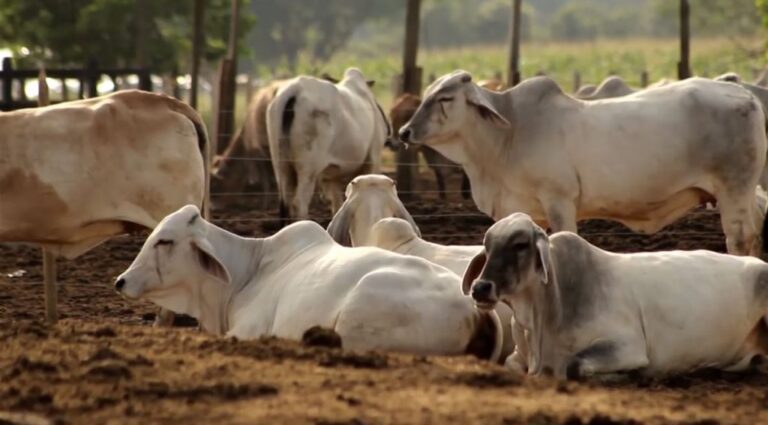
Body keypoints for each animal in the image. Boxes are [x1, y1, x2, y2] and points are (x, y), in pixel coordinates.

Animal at [115, 205, 504, 362]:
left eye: (164, 241)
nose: (121, 281)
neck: (246, 274)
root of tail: (477, 309)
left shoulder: (246, 332)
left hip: (361, 312)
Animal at [268, 66, 390, 222]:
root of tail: (295, 89)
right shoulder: (374, 158)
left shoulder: (331, 175)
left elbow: (337, 205)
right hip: (308, 168)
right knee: (299, 203)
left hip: (281, 165)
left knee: (285, 203)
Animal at [400, 70, 768, 255]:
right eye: (427, 94)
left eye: (445, 98)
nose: (404, 132)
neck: (509, 135)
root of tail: (747, 96)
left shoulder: (559, 200)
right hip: (745, 193)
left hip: (733, 190)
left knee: (740, 239)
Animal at [462, 212, 768, 378]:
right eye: (487, 246)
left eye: (520, 245)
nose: (480, 287)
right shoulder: (520, 357)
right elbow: (511, 365)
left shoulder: (627, 346)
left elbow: (572, 366)